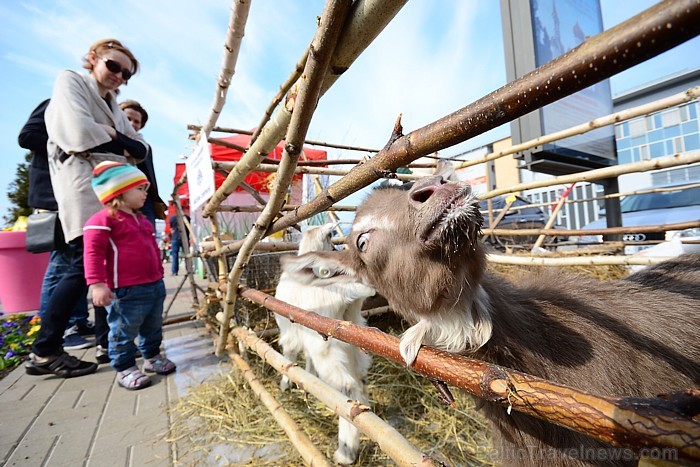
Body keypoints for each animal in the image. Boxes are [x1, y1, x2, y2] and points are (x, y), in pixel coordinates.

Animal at [274, 225, 378, 466]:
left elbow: (288, 355)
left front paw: (286, 384)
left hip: (326, 346)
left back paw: (346, 451)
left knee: (347, 389)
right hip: (353, 341)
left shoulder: (291, 333)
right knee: (360, 380)